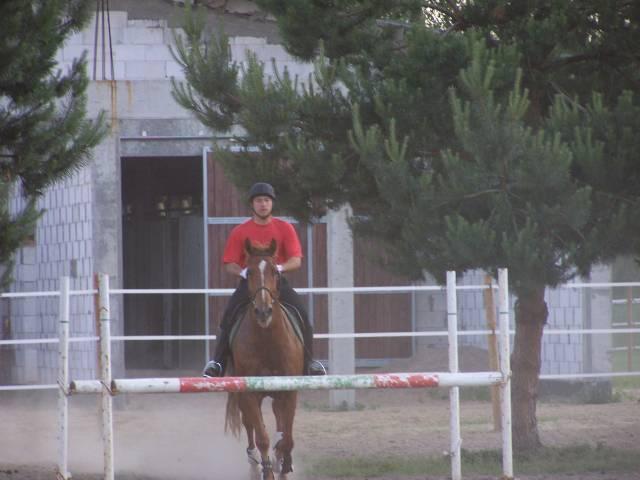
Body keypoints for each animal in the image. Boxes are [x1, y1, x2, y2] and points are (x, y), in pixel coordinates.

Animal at [225, 238, 304, 478]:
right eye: (248, 272)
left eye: (275, 272)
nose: (263, 312)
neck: (268, 342)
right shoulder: (249, 394)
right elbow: (262, 438)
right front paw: (268, 470)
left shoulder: (289, 392)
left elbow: (287, 437)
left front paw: (285, 465)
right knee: (250, 426)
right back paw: (254, 461)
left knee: (279, 422)